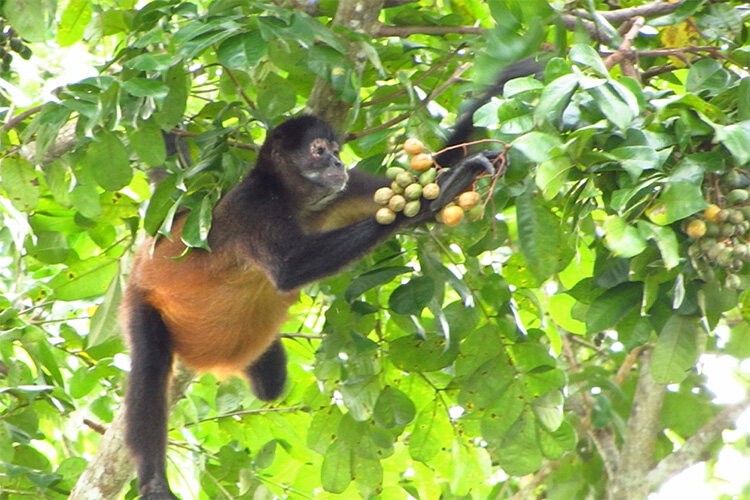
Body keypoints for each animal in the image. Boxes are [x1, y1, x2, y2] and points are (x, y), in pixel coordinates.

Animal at [122, 57, 540, 496]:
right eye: (318, 151)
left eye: (336, 152)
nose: (337, 163)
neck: (293, 202)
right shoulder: (253, 208)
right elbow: (291, 269)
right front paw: (433, 200)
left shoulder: (343, 190)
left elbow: (429, 167)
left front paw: (518, 73)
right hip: (142, 301)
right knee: (150, 365)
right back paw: (154, 483)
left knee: (270, 381)